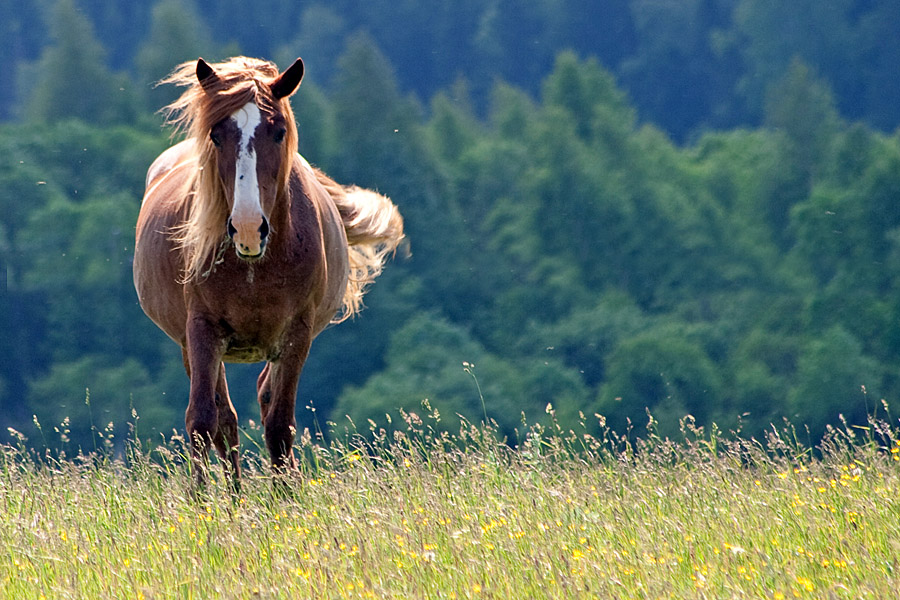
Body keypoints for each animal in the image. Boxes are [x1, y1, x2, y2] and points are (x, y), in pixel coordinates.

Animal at [132, 57, 402, 488]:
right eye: (216, 134)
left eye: (278, 132)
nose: (247, 227)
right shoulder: (201, 330)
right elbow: (203, 420)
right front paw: (200, 498)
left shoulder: (296, 335)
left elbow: (280, 423)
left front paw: (285, 496)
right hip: (193, 344)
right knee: (225, 417)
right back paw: (235, 494)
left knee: (264, 399)